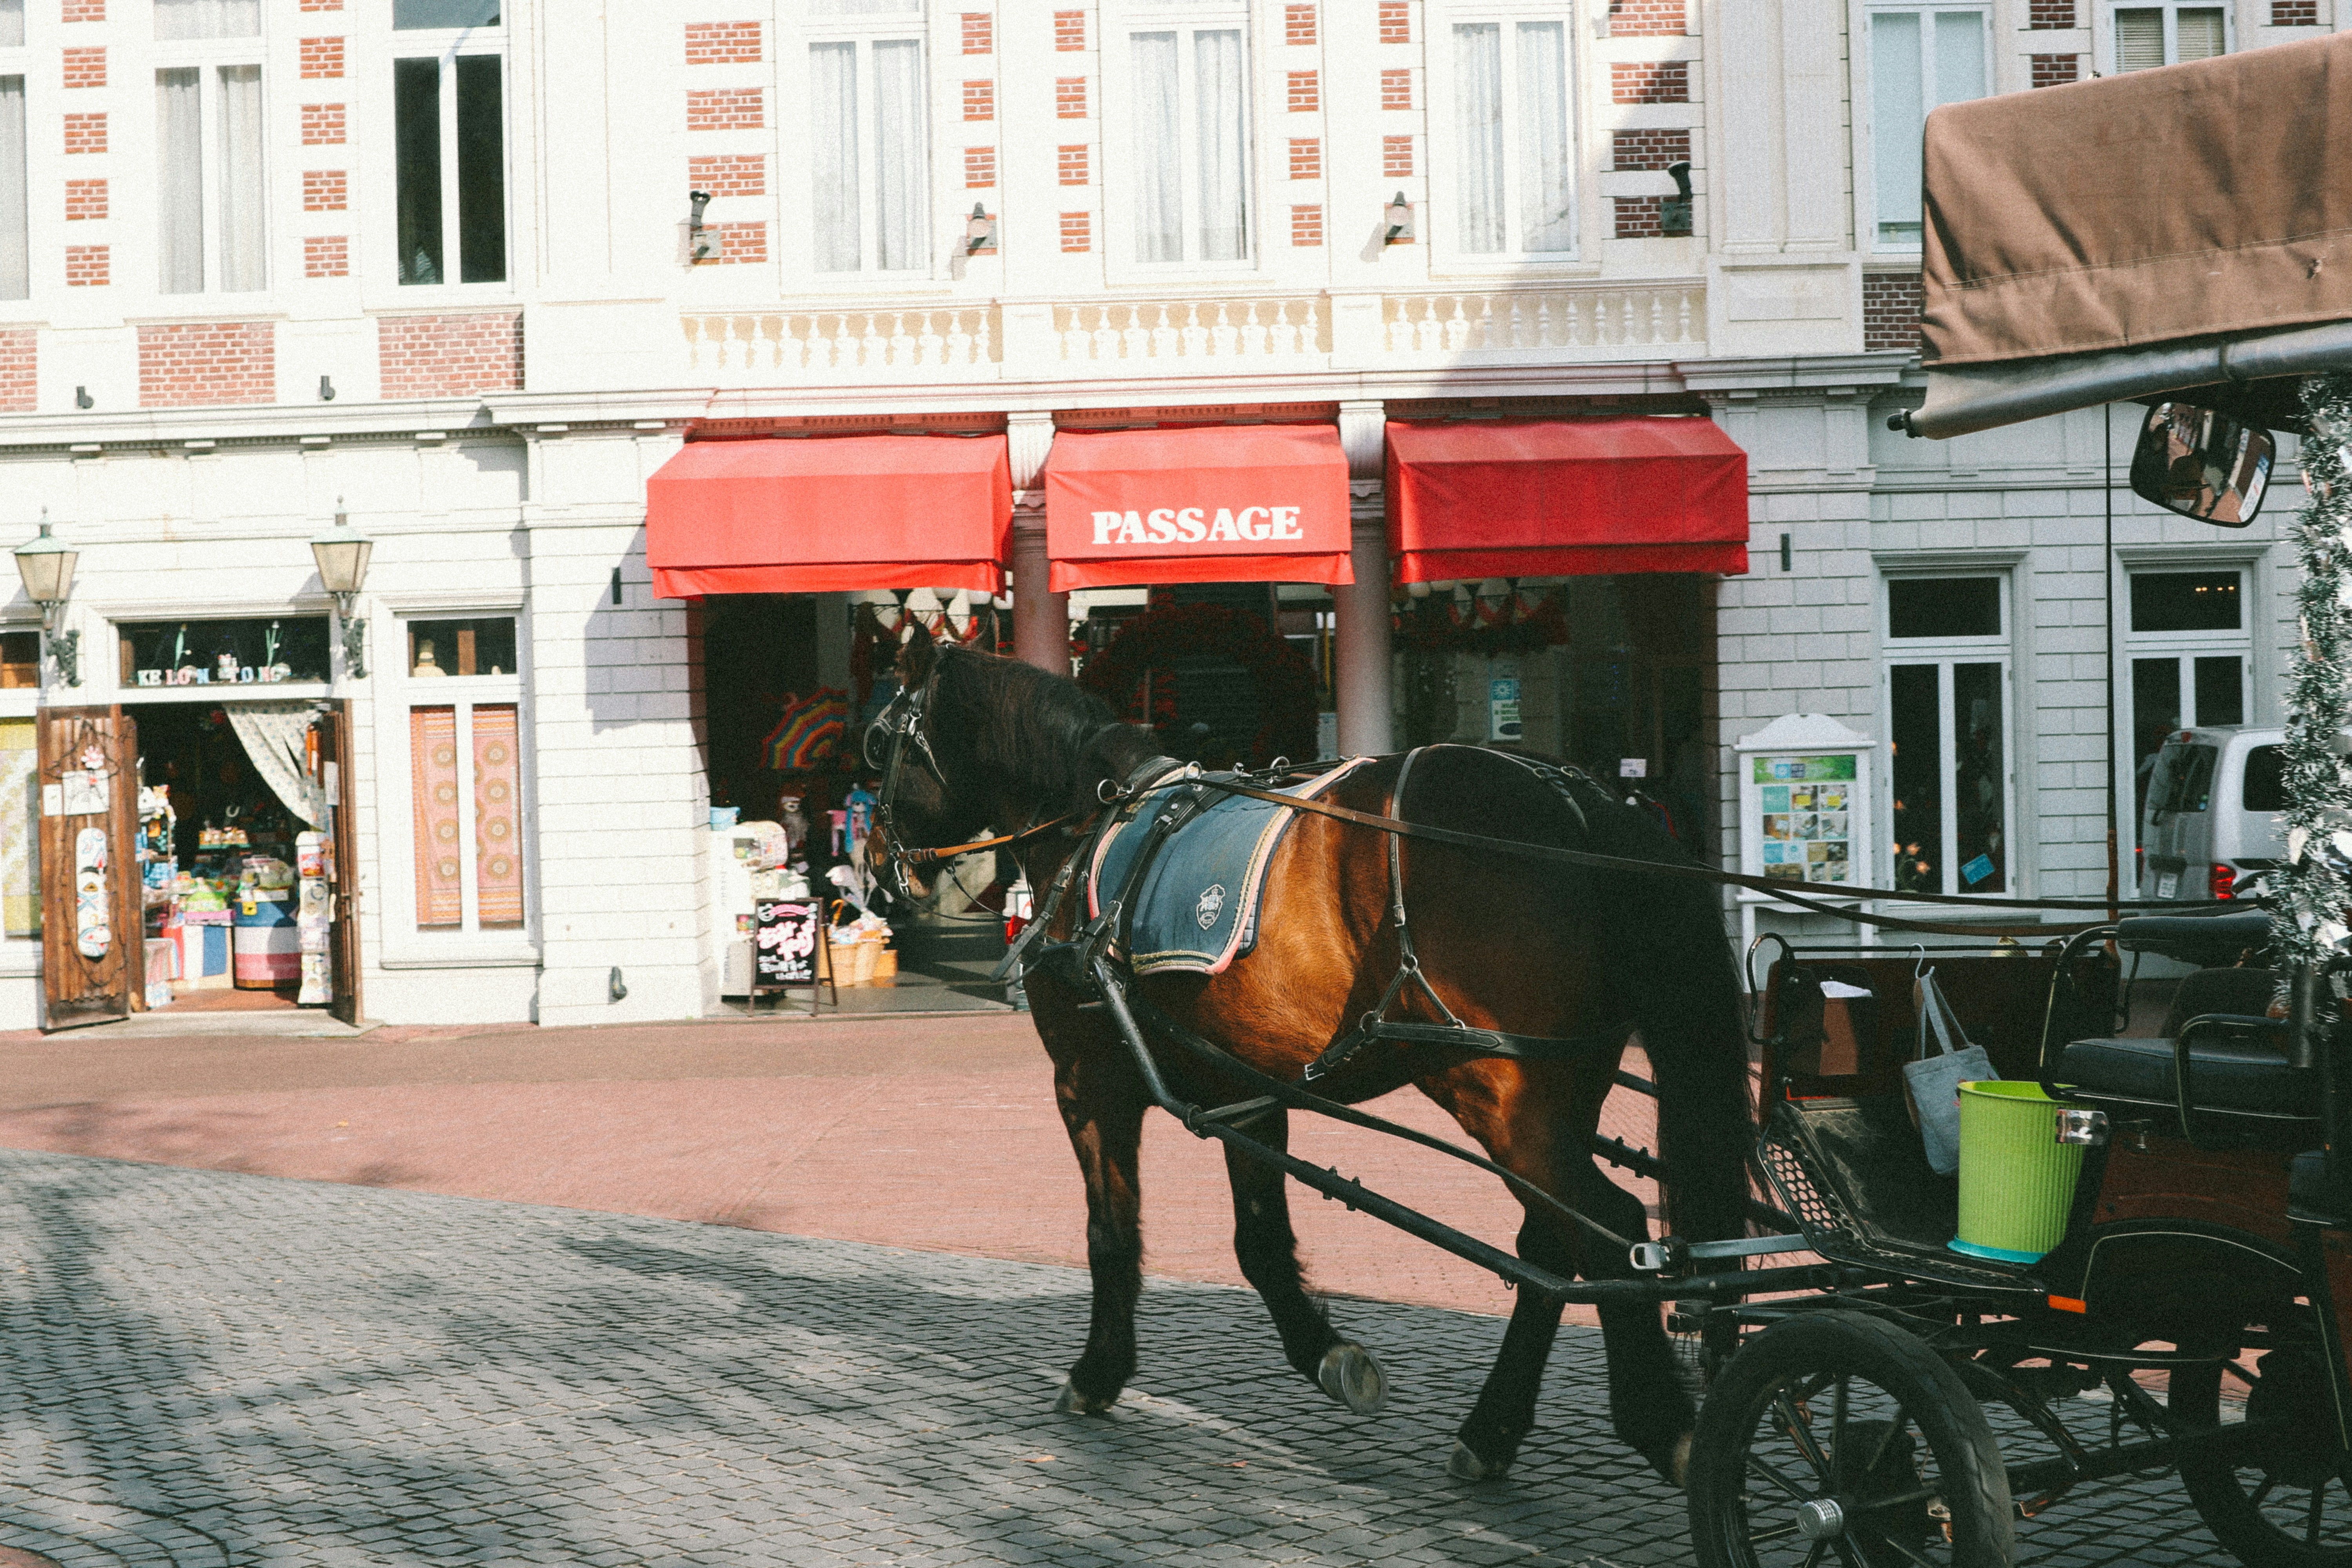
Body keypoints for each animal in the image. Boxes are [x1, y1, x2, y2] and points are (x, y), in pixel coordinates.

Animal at [867, 634, 1754, 1486]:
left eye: (879, 744)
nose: (875, 871)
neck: (1094, 828)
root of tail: (1582, 805)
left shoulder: (1088, 1082)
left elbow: (1111, 1233)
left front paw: (1097, 1371)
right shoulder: (1244, 1086)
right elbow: (1259, 1241)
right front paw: (1330, 1355)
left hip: (1502, 1096)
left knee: (1610, 1230)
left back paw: (1661, 1426)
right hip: (1558, 1093)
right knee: (1552, 1243)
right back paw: (1491, 1430)